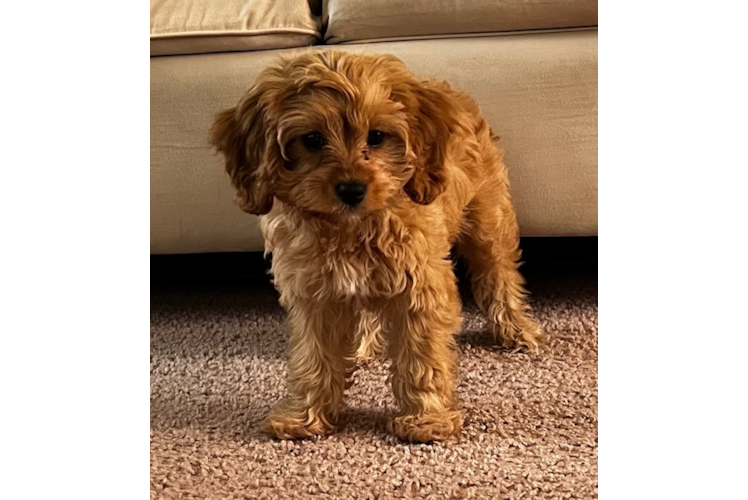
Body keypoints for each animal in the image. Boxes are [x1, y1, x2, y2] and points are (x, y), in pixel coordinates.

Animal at [210, 49, 544, 442]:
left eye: (378, 136)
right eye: (312, 139)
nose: (351, 189)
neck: (351, 228)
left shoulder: (421, 285)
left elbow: (422, 356)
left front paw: (426, 418)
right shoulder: (315, 292)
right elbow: (313, 357)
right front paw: (304, 415)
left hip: (489, 221)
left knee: (499, 274)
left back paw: (516, 329)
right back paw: (363, 346)